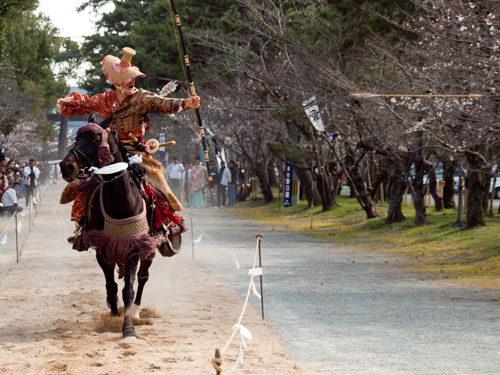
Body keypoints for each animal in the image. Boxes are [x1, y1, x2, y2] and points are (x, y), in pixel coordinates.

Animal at [58, 119, 163, 340]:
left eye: (95, 139)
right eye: (76, 138)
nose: (66, 166)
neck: (120, 199)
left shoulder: (134, 245)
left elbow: (128, 290)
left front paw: (128, 328)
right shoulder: (102, 246)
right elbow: (111, 285)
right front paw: (114, 315)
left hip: (149, 245)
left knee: (143, 277)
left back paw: (137, 312)